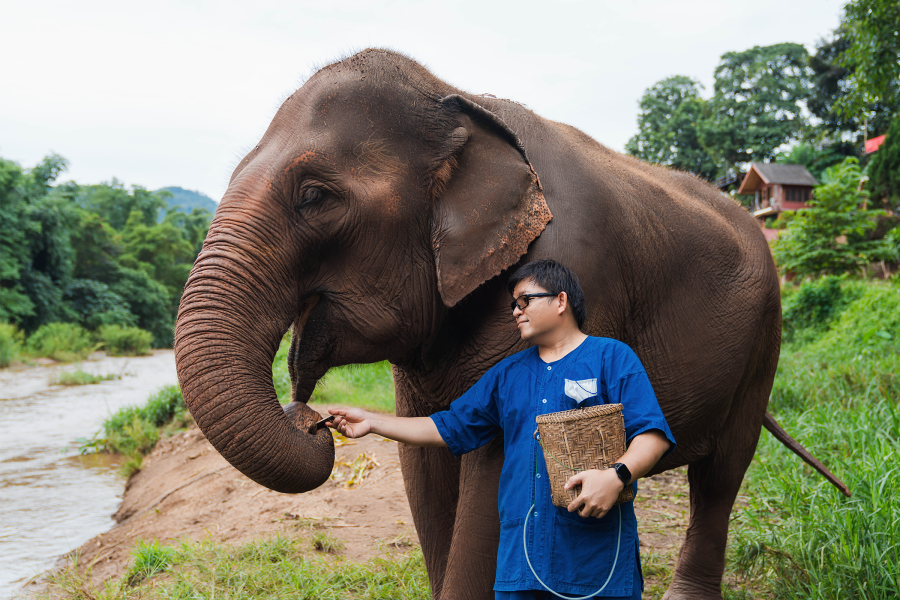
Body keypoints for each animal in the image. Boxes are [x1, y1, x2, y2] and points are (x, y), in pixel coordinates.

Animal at [174, 49, 852, 596]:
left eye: (315, 196)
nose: (314, 422)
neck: (453, 97)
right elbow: (429, 459)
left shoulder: (580, 264)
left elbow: (494, 468)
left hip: (764, 339)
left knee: (721, 474)